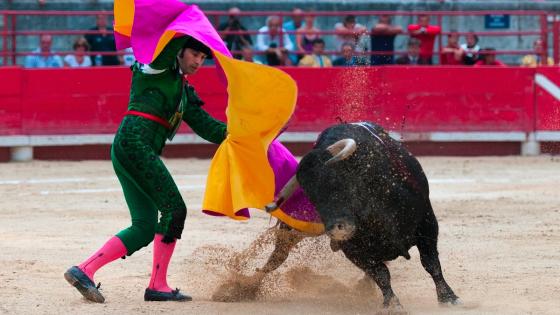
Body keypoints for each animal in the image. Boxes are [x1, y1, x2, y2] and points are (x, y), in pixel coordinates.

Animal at [262, 123, 460, 312]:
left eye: (339, 181)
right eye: (311, 197)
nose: (336, 229)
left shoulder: (427, 223)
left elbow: (430, 262)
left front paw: (448, 298)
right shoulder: (353, 249)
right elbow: (381, 274)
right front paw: (392, 304)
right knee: (278, 256)